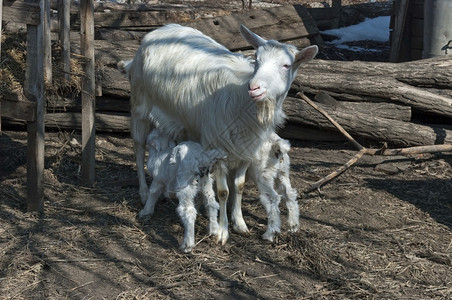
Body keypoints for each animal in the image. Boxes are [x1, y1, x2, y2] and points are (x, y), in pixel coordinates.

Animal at [120, 22, 318, 244]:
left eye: (286, 65)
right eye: (257, 59)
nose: (254, 87)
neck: (243, 103)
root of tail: (161, 29)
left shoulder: (246, 149)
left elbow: (239, 186)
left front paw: (239, 223)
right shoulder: (218, 143)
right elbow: (223, 191)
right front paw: (222, 231)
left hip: (185, 122)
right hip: (140, 104)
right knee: (138, 148)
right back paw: (144, 193)